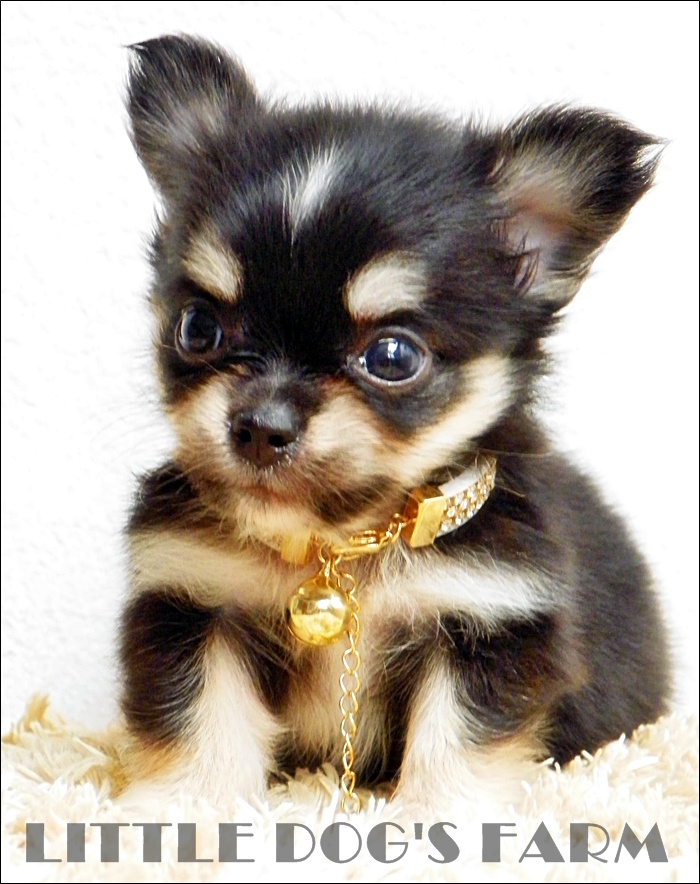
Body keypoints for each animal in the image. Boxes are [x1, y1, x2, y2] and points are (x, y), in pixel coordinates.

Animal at [120, 35, 670, 812]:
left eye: (391, 356)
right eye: (197, 328)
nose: (259, 425)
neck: (339, 547)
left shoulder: (487, 616)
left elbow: (456, 738)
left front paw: (443, 816)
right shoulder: (194, 599)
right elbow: (203, 716)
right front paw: (183, 809)